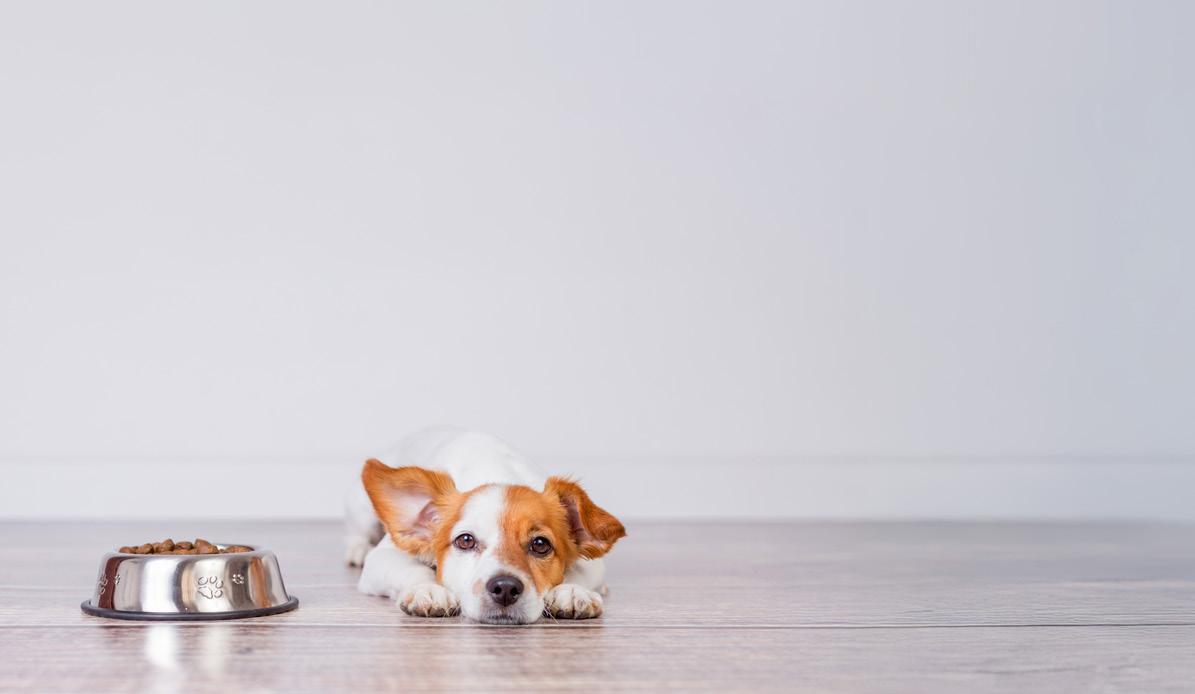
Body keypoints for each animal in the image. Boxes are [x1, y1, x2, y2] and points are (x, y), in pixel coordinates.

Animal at [345, 427, 626, 624]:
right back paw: (356, 550)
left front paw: (572, 592)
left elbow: (577, 573)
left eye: (540, 544)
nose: (505, 588)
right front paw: (429, 589)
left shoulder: (593, 564)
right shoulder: (383, 558)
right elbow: (414, 570)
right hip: (363, 514)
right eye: (465, 540)